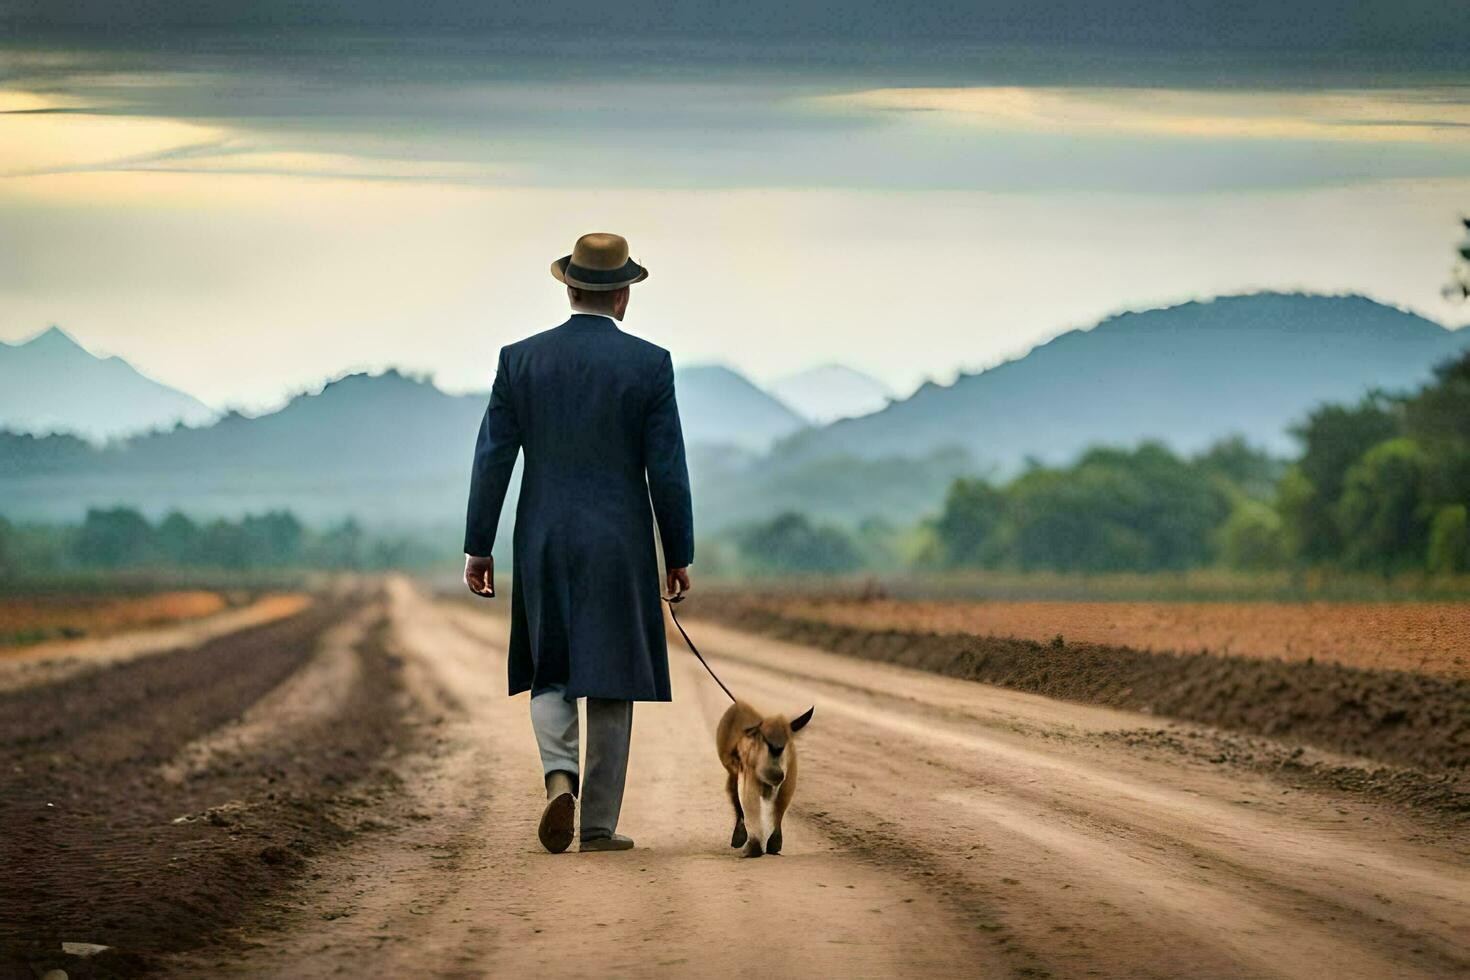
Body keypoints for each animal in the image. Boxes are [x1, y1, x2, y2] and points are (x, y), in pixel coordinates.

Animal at [714, 702, 817, 852]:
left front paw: (774, 844)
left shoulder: (788, 779)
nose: (775, 772)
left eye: (785, 744)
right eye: (764, 740)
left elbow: (779, 808)